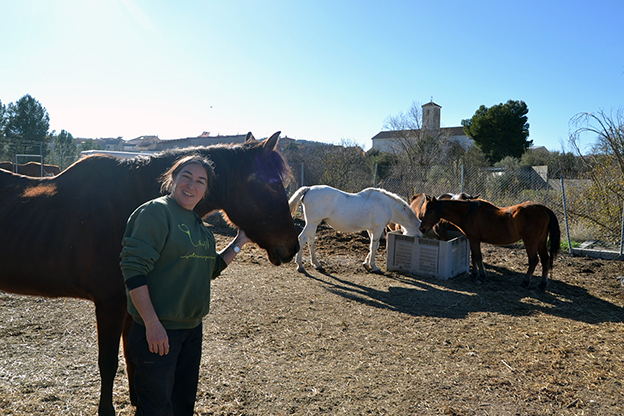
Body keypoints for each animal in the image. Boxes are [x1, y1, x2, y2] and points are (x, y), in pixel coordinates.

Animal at [0, 132, 302, 416]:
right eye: (274, 185)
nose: (292, 247)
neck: (129, 206)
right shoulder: (110, 304)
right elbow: (108, 362)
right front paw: (107, 410)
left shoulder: (130, 305)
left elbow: (132, 355)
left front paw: (137, 401)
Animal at [290, 185, 422, 272]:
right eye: (416, 236)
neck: (386, 204)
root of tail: (308, 189)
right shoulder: (378, 229)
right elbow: (374, 246)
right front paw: (374, 266)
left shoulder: (371, 230)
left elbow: (372, 246)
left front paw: (366, 264)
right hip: (312, 223)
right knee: (302, 238)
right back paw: (300, 265)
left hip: (313, 223)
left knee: (310, 240)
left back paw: (316, 264)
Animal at [420, 197, 560, 290]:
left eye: (430, 212)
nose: (422, 229)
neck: (468, 213)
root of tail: (543, 208)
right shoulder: (472, 239)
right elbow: (474, 257)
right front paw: (474, 274)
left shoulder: (474, 239)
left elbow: (478, 257)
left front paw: (482, 276)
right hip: (541, 242)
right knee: (545, 260)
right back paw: (543, 284)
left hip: (530, 242)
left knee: (534, 260)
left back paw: (526, 282)